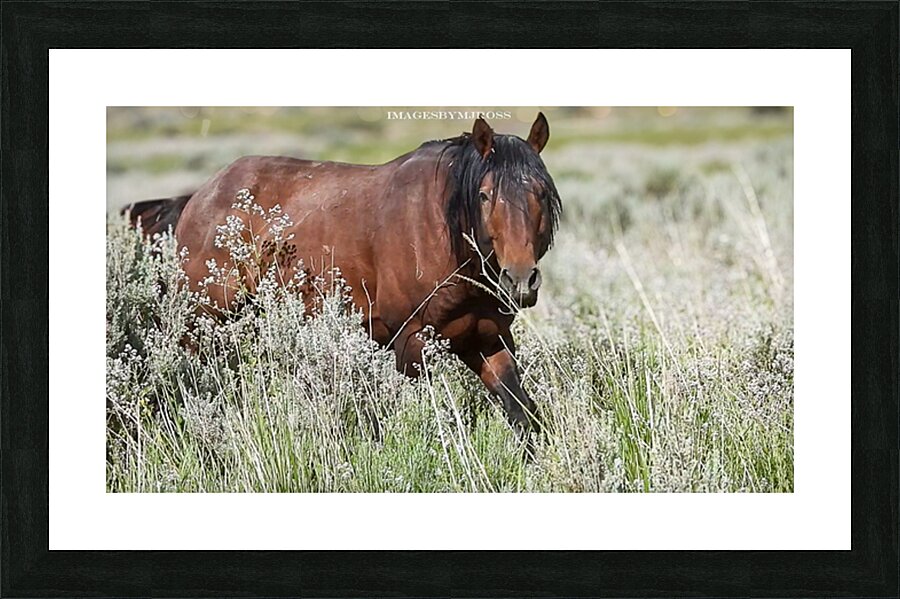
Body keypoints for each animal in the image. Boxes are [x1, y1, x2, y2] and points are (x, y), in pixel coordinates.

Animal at [124, 113, 561, 435]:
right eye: (485, 195)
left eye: (541, 192)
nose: (519, 280)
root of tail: (197, 198)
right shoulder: (411, 342)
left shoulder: (488, 339)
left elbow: (523, 414)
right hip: (202, 321)